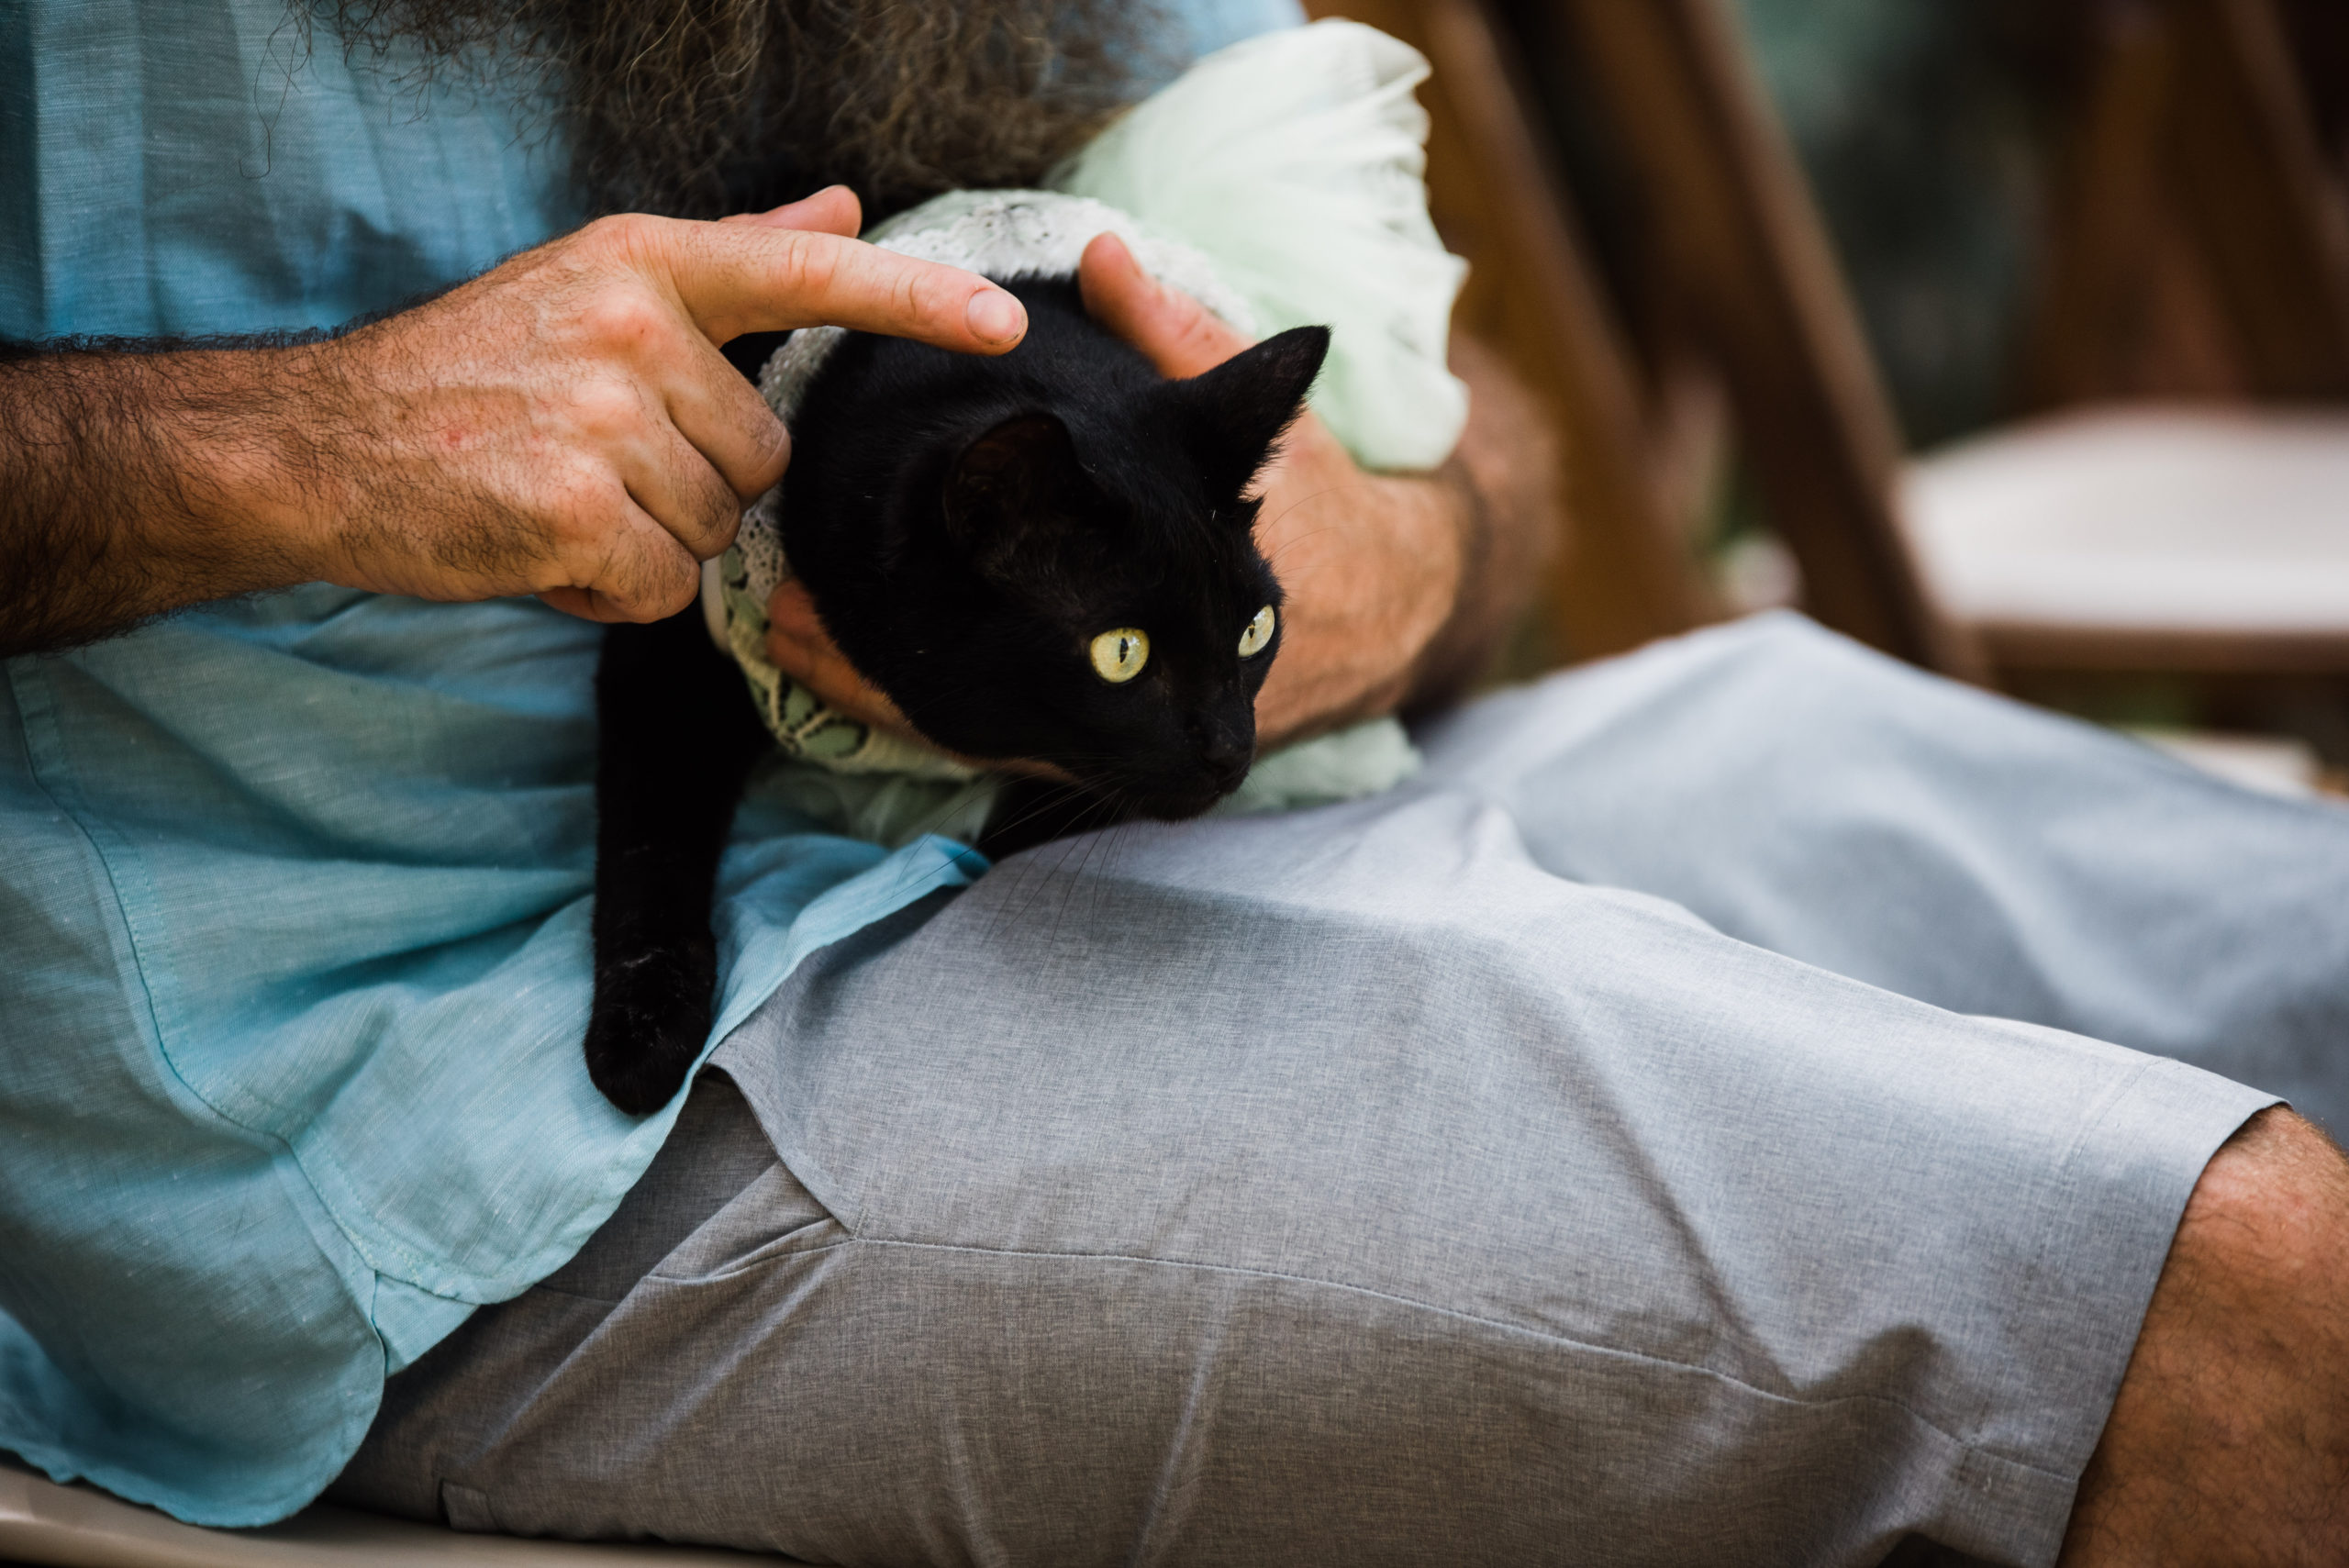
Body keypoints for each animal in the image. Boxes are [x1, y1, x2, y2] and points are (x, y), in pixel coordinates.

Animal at [582, 278, 1324, 1112]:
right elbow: (650, 827)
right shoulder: (672, 620)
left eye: (1256, 629)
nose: (1232, 749)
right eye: (1122, 652)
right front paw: (643, 1033)